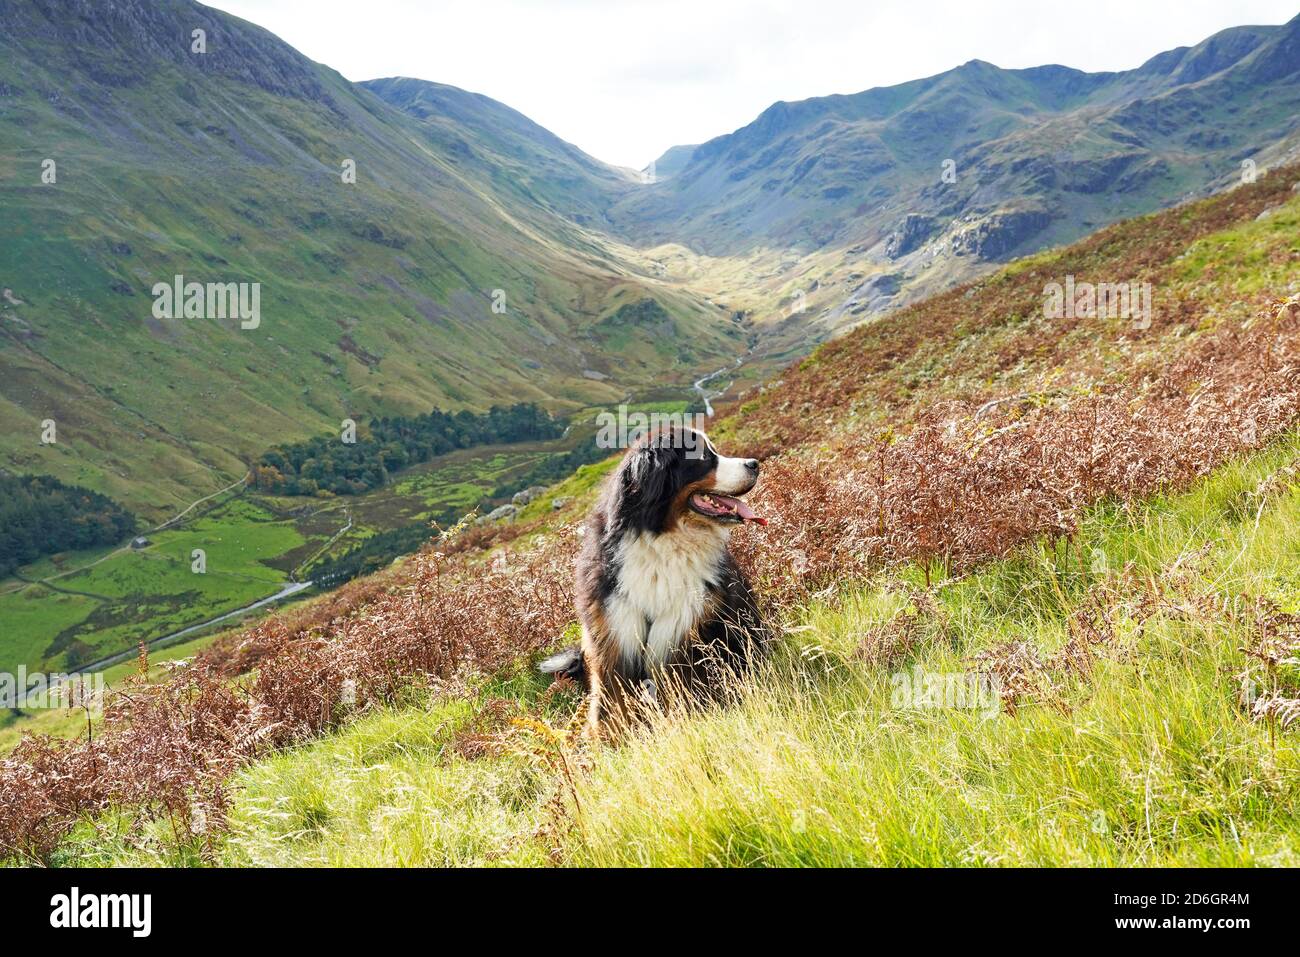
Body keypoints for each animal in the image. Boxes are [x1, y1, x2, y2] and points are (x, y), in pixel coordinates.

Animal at [540, 429, 769, 738]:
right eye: (704, 457)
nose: (754, 464)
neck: (663, 542)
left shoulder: (684, 635)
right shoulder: (615, 637)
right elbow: (611, 705)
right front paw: (606, 742)